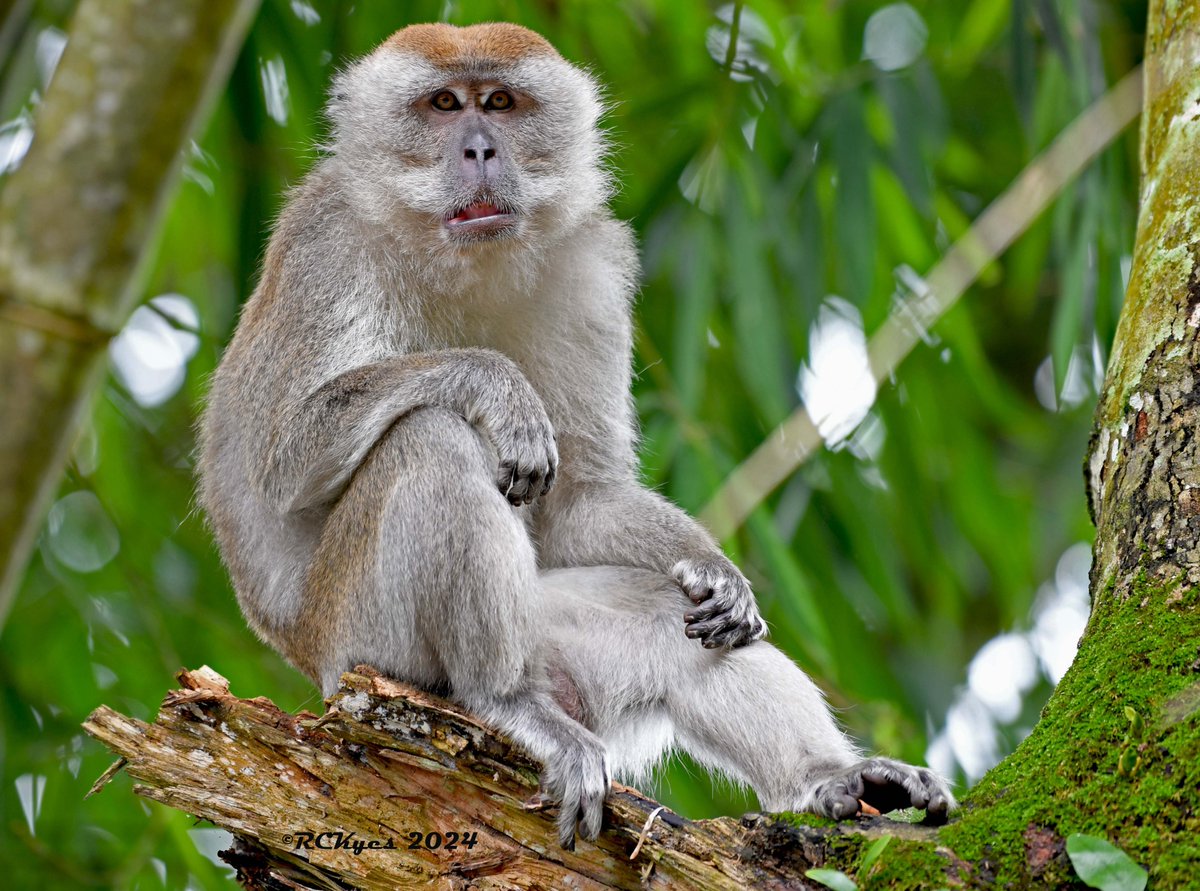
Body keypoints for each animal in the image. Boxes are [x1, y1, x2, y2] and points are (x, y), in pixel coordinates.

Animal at [197, 22, 955, 849]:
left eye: (500, 102)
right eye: (443, 104)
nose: (479, 149)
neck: (462, 260)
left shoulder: (590, 269)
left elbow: (584, 501)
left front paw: (714, 568)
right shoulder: (326, 243)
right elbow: (282, 461)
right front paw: (496, 385)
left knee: (663, 615)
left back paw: (832, 777)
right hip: (362, 636)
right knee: (429, 437)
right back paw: (502, 699)